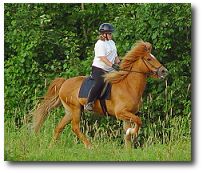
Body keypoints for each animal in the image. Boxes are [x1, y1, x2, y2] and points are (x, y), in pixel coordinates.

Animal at [32, 40, 168, 149]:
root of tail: (65, 82)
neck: (128, 86)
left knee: (59, 127)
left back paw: (51, 147)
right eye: (149, 59)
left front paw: (128, 150)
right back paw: (90, 146)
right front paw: (132, 131)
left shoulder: (127, 115)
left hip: (70, 111)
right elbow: (138, 122)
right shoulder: (121, 113)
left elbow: (128, 135)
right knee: (75, 127)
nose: (164, 71)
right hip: (75, 109)